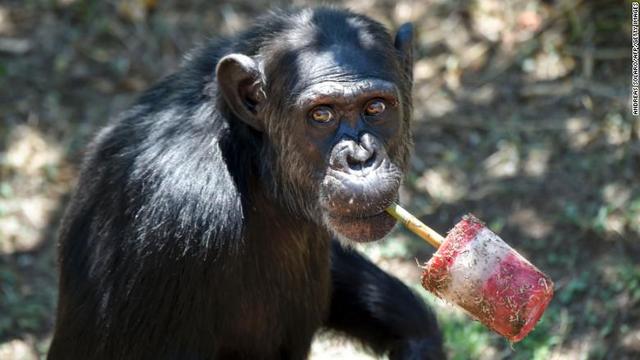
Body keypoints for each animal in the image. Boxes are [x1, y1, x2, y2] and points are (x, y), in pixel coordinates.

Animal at [47, 6, 444, 360]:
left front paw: (416, 338)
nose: (360, 158)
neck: (250, 158)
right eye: (321, 115)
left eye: (376, 107)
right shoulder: (179, 220)